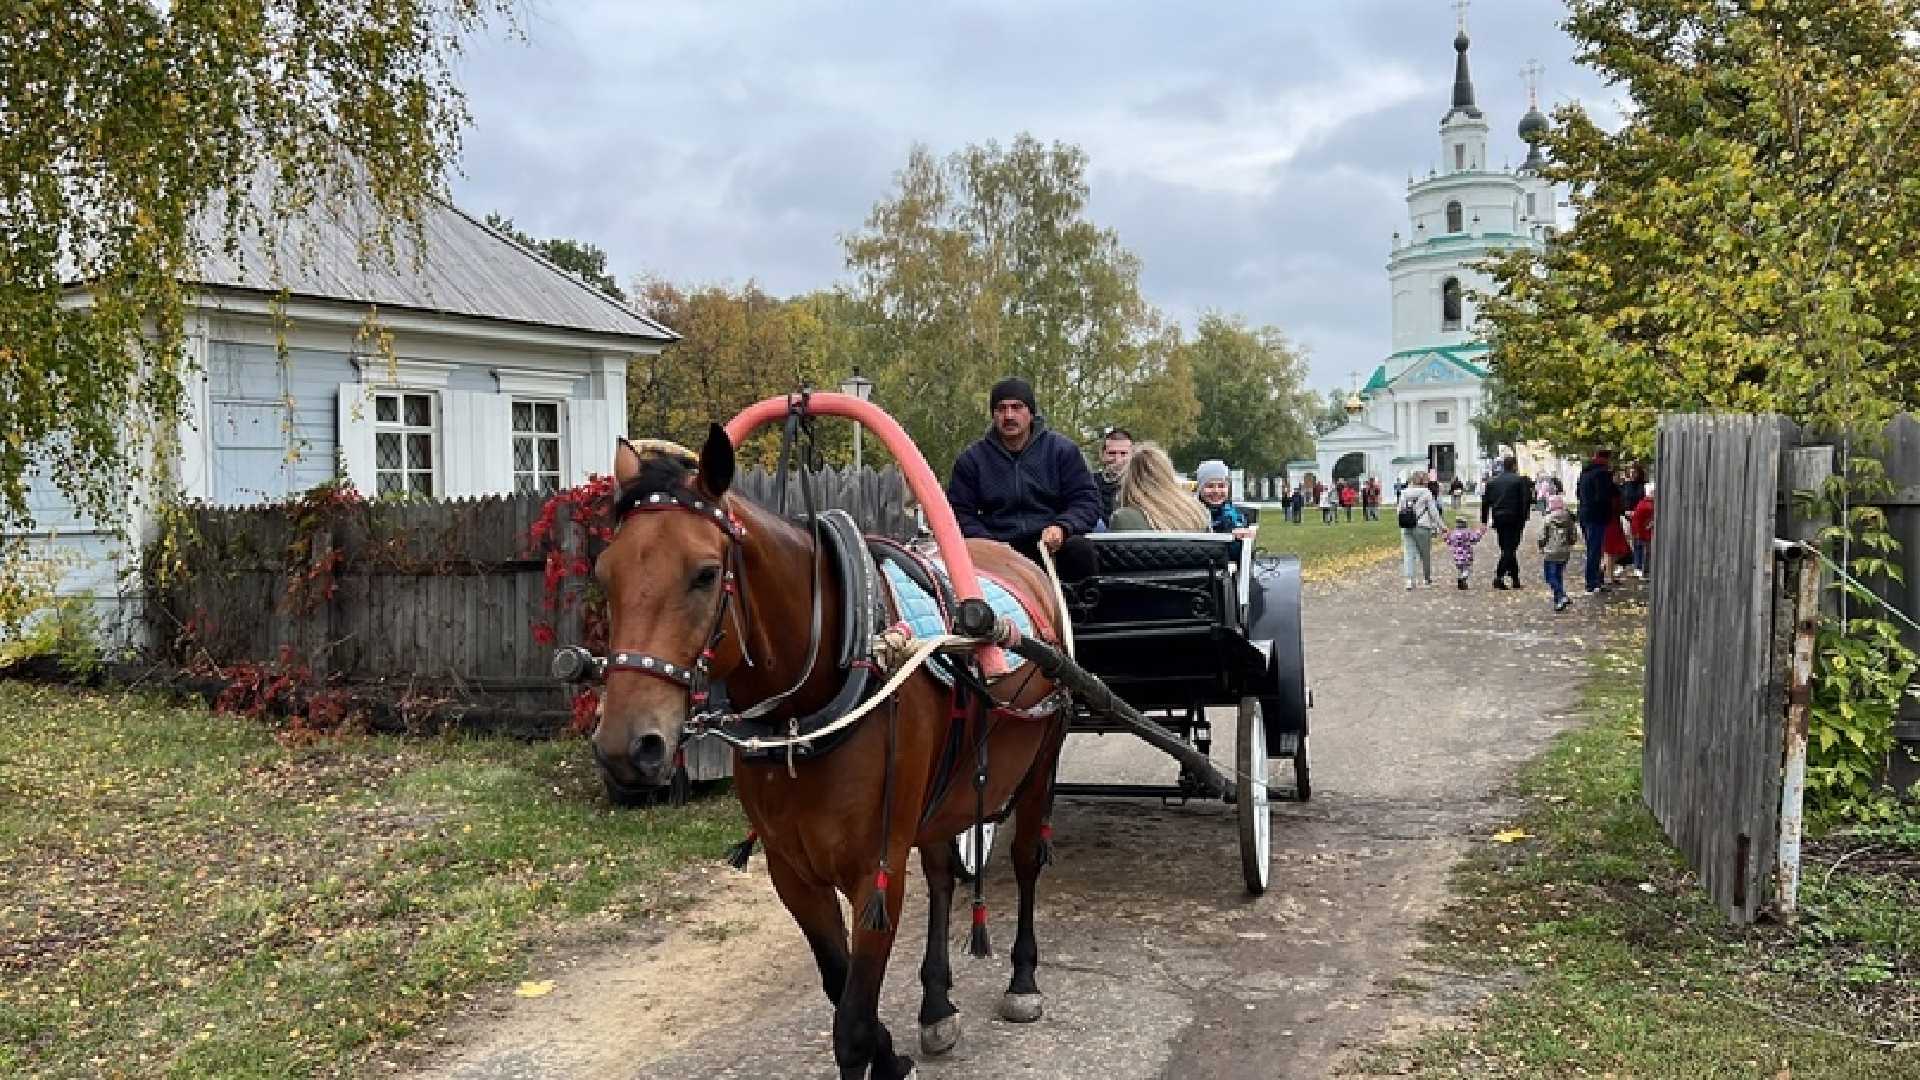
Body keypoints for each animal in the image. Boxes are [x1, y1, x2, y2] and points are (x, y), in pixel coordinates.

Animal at [587, 424, 1067, 1068]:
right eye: (604, 573)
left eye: (705, 573)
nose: (626, 745)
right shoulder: (794, 875)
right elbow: (841, 990)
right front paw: (893, 1048)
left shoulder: (876, 873)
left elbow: (852, 1021)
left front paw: (883, 1051)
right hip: (944, 795)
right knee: (943, 875)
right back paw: (936, 1003)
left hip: (1041, 763)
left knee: (1026, 859)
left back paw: (1022, 979)